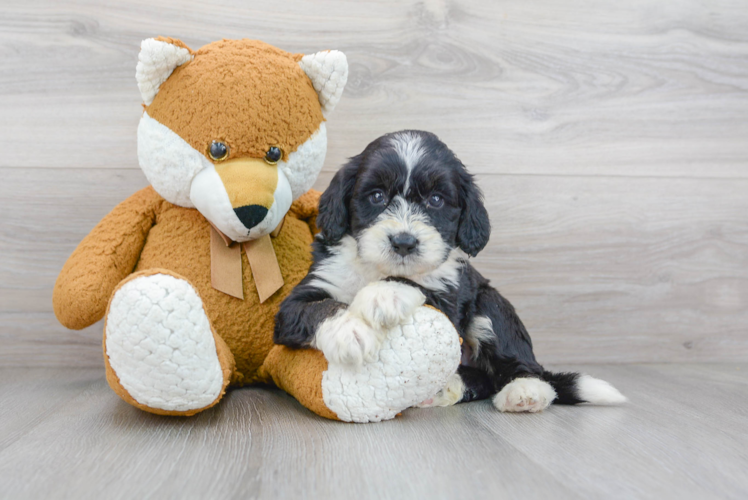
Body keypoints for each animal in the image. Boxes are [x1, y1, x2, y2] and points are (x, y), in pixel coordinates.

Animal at [274, 131, 624, 412]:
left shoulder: (449, 295)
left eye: (436, 200)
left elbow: (415, 283)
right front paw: (351, 331)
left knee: (519, 365)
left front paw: (381, 295)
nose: (404, 242)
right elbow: (318, 307)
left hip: (491, 306)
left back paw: (525, 391)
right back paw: (446, 387)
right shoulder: (300, 300)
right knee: (483, 378)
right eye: (376, 196)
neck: (375, 267)